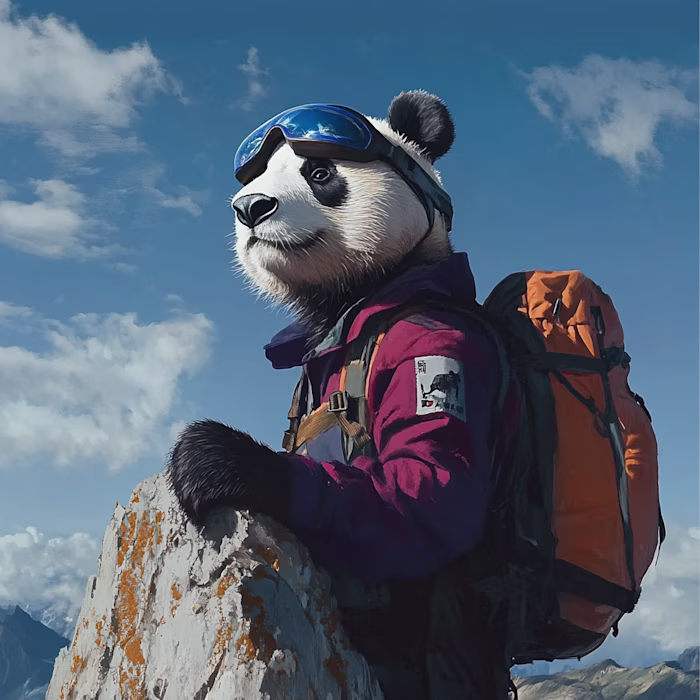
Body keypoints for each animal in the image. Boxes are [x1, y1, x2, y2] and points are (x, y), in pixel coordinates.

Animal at [167, 91, 517, 700]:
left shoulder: (434, 344)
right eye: (260, 171)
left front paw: (211, 458)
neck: (368, 295)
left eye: (320, 172)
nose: (249, 206)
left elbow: (424, 497)